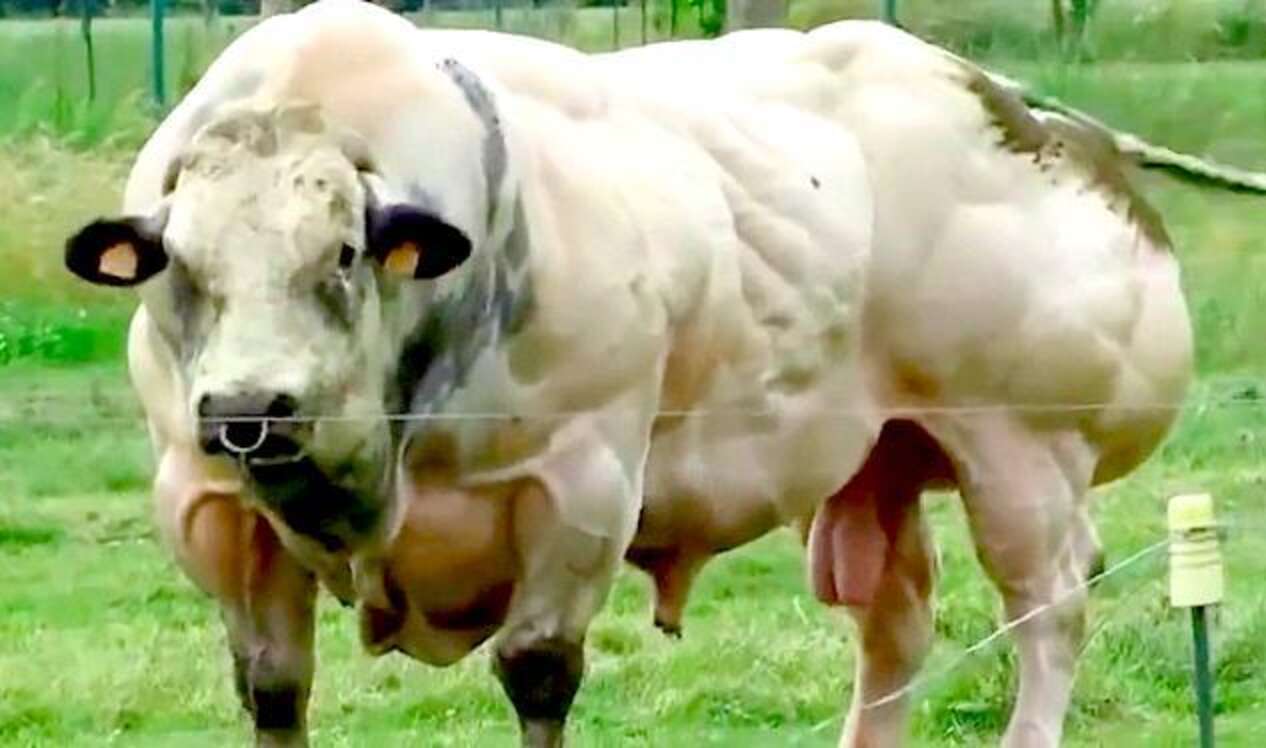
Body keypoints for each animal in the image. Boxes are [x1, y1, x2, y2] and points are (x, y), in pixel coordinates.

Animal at [60, 2, 1264, 746]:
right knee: (896, 623)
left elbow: (538, 671)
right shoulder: (213, 513)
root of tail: (1015, 104)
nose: (248, 410)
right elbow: (273, 688)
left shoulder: (581, 485)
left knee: (1047, 609)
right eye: (179, 262)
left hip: (1025, 446)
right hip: (876, 458)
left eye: (346, 252)